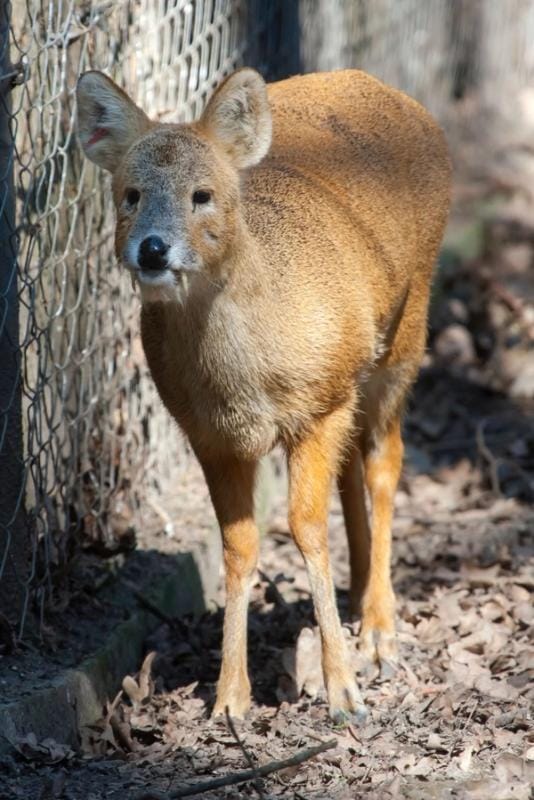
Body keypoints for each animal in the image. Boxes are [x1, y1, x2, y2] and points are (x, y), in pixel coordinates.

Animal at [76, 66, 450, 724]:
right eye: (130, 193)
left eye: (202, 194)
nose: (152, 248)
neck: (245, 379)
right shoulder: (210, 435)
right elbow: (239, 546)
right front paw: (229, 698)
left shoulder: (319, 407)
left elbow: (306, 528)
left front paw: (343, 692)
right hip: (354, 380)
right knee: (355, 470)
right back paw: (360, 600)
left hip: (403, 337)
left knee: (385, 462)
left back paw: (380, 630)